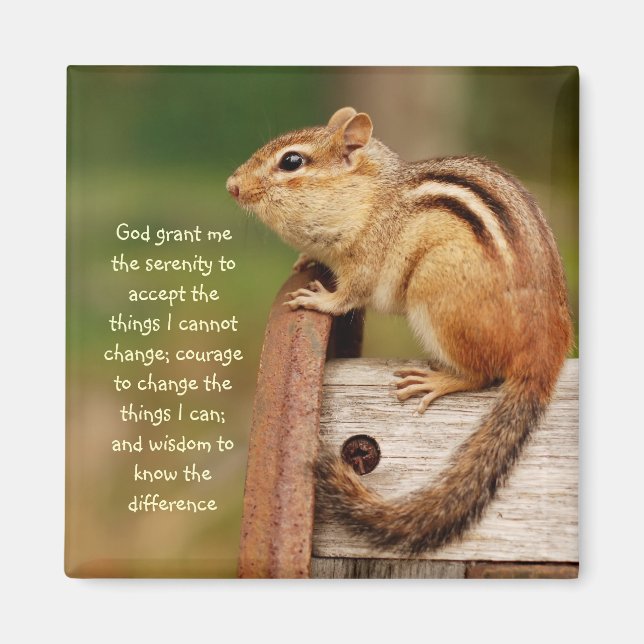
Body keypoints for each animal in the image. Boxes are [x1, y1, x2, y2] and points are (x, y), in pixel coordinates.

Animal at [226, 106, 572, 554]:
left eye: (291, 161)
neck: (370, 199)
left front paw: (319, 301)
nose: (232, 186)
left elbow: (349, 295)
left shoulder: (367, 261)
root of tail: (547, 351)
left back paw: (438, 381)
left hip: (436, 293)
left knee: (481, 375)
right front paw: (305, 259)